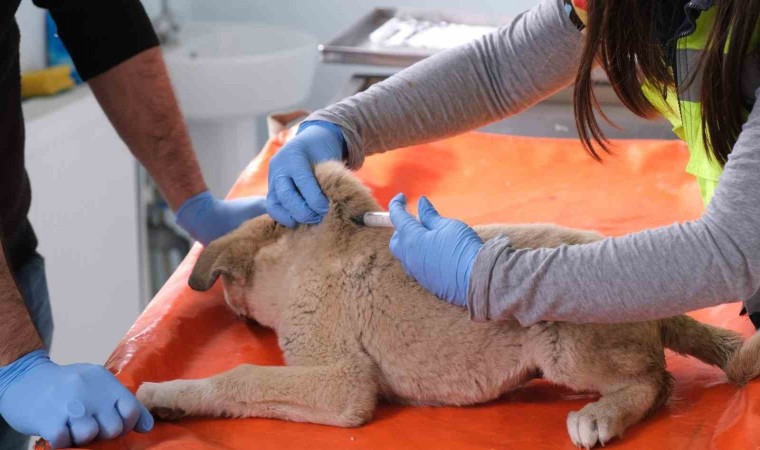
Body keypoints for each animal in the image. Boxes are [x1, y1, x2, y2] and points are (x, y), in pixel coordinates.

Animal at [137, 161, 758, 449]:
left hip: (564, 342)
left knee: (657, 381)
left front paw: (164, 393)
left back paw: (600, 416)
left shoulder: (342, 382)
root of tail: (661, 303)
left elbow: (240, 377)